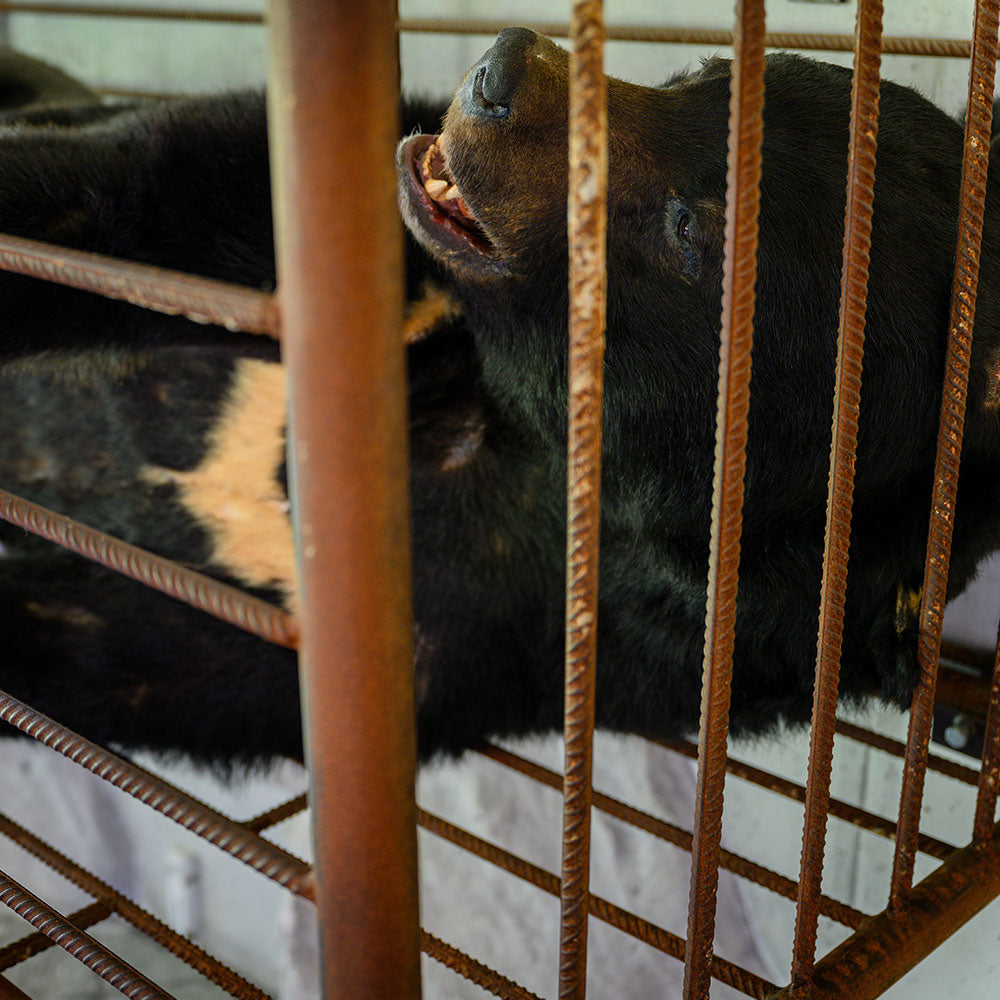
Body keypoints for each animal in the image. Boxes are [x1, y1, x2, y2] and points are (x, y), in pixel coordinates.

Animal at [0, 32, 998, 766]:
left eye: (690, 229)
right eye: (702, 72)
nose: (506, 65)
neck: (516, 423)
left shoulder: (525, 635)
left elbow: (146, 658)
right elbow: (148, 191)